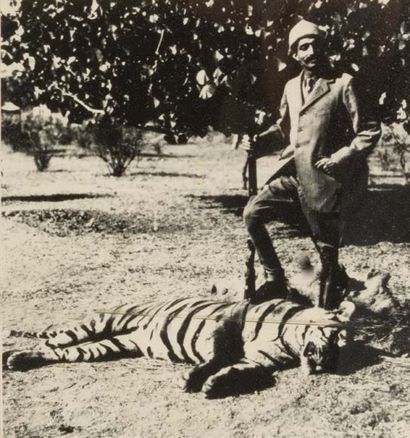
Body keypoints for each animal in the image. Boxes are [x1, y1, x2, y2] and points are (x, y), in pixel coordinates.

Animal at [3, 296, 354, 398]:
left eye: (342, 349)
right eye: (337, 339)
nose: (328, 363)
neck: (288, 338)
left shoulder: (258, 362)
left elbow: (244, 371)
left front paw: (215, 385)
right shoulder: (226, 323)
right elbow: (216, 356)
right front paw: (193, 378)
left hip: (110, 346)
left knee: (58, 353)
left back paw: (18, 360)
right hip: (101, 323)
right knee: (56, 340)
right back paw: (12, 353)